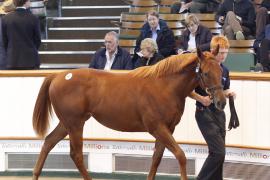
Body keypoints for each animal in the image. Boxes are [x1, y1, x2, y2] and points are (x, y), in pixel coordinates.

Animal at [32, 48, 226, 179]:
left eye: (220, 71)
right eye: (206, 73)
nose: (221, 102)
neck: (164, 86)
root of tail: (59, 75)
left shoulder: (167, 130)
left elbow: (156, 159)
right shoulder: (158, 128)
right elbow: (181, 156)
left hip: (66, 124)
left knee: (48, 142)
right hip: (75, 124)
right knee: (76, 154)